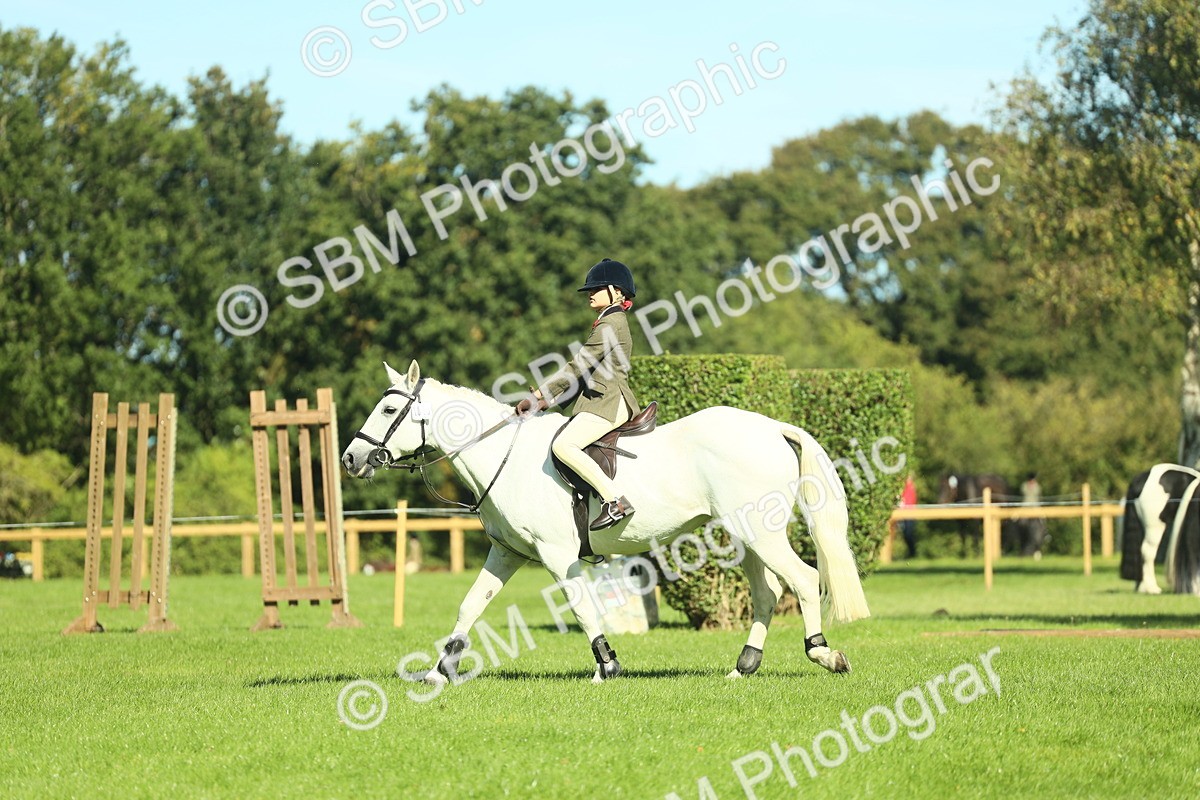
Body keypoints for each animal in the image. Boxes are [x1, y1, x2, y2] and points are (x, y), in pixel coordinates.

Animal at [341, 360, 870, 685]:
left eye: (389, 408)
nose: (351, 459)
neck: (503, 455)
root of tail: (771, 427)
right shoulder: (506, 552)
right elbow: (470, 606)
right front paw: (439, 671)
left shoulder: (557, 555)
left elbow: (582, 609)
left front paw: (607, 667)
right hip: (745, 536)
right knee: (767, 592)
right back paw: (743, 667)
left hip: (760, 532)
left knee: (803, 579)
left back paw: (824, 654)